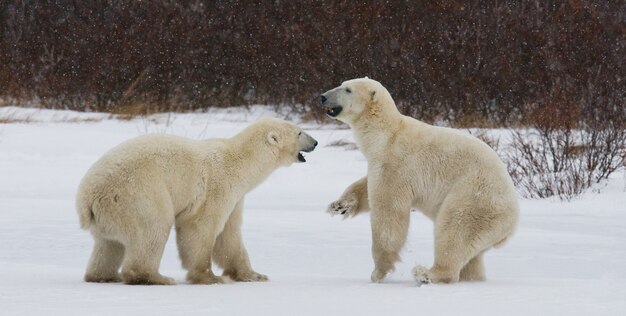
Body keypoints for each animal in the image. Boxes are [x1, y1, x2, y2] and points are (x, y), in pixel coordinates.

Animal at [76, 117, 316, 286]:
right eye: (299, 131)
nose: (315, 142)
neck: (241, 162)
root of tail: (87, 196)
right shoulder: (219, 186)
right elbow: (200, 227)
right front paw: (211, 277)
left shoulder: (237, 197)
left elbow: (229, 236)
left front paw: (254, 274)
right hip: (136, 194)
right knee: (153, 228)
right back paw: (155, 277)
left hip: (111, 212)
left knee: (109, 244)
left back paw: (104, 276)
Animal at [320, 78, 516, 284]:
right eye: (342, 84)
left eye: (348, 89)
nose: (323, 97)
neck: (385, 135)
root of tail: (512, 222)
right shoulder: (380, 162)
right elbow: (365, 187)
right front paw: (339, 205)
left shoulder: (396, 164)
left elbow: (388, 212)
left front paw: (379, 272)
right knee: (472, 255)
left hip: (477, 199)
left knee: (455, 231)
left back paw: (426, 273)